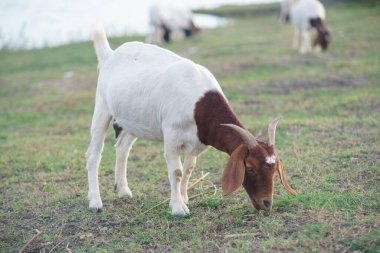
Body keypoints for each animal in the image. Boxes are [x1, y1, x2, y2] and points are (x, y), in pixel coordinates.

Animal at [87, 25, 298, 215]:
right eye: (250, 167)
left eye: (274, 169)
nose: (266, 204)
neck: (198, 103)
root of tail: (110, 55)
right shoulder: (172, 135)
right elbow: (177, 172)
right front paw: (178, 208)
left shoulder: (198, 143)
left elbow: (188, 169)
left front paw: (184, 198)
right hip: (102, 107)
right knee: (94, 154)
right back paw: (95, 202)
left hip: (133, 121)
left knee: (122, 147)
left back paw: (123, 190)